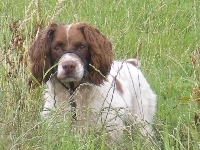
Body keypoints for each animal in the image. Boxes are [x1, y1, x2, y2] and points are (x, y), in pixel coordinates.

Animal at [28, 22, 156, 137]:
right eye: (56, 47)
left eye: (82, 46)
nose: (69, 66)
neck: (76, 94)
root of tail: (131, 63)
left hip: (142, 119)